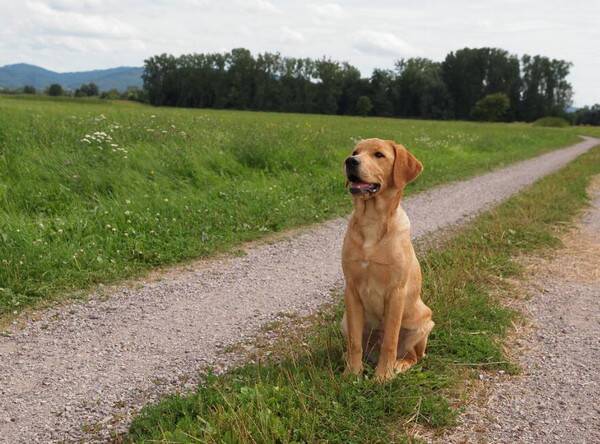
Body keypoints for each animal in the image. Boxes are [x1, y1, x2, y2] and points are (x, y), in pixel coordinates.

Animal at [340, 139, 434, 382]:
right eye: (355, 152)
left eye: (379, 155)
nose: (350, 161)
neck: (372, 221)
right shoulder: (351, 289)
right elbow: (355, 342)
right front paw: (352, 373)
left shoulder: (396, 292)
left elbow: (390, 341)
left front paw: (383, 376)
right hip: (344, 320)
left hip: (423, 323)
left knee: (413, 356)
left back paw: (399, 365)